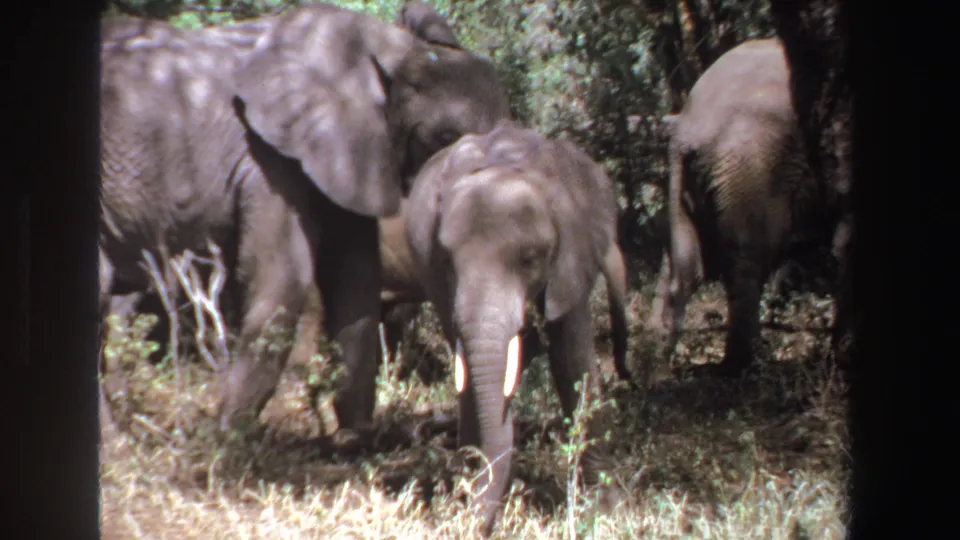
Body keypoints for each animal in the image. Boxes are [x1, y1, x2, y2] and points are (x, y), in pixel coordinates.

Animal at [98, 1, 513, 433]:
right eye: (445, 138)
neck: (387, 50)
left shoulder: (348, 152)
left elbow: (356, 277)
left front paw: (355, 437)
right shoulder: (266, 158)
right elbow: (284, 275)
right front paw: (225, 436)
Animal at [405, 121, 627, 535]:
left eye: (529, 259)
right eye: (448, 263)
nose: (469, 520)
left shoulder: (573, 255)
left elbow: (571, 361)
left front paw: (605, 509)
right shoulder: (435, 277)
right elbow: (470, 374)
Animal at [649, 36, 846, 377]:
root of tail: (683, 129)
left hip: (694, 180)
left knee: (685, 265)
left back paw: (651, 365)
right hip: (750, 163)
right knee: (749, 256)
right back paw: (744, 365)